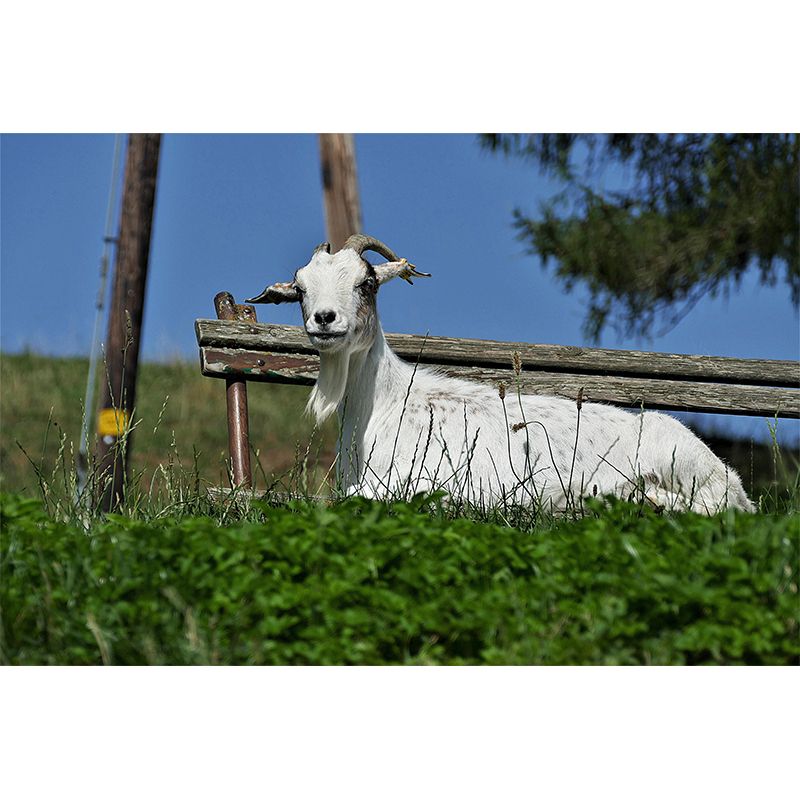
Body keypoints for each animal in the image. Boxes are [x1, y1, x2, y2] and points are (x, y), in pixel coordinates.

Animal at [247, 234, 755, 514]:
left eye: (367, 283)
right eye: (301, 291)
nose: (325, 319)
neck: (385, 404)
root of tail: (734, 483)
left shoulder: (426, 479)